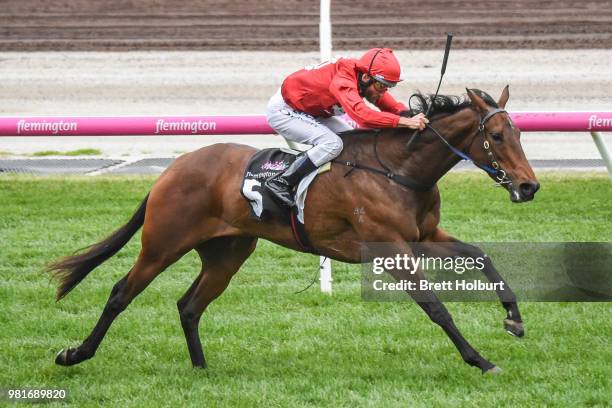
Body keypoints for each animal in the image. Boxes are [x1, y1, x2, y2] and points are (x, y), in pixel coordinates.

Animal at [47, 86, 540, 372]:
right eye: (497, 137)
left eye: (519, 133)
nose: (529, 186)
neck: (398, 169)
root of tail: (172, 169)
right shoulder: (391, 248)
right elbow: (436, 307)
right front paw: (480, 359)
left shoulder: (423, 237)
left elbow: (481, 255)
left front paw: (513, 319)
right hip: (163, 244)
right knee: (120, 293)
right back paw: (75, 354)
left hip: (227, 253)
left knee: (189, 305)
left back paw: (201, 369)